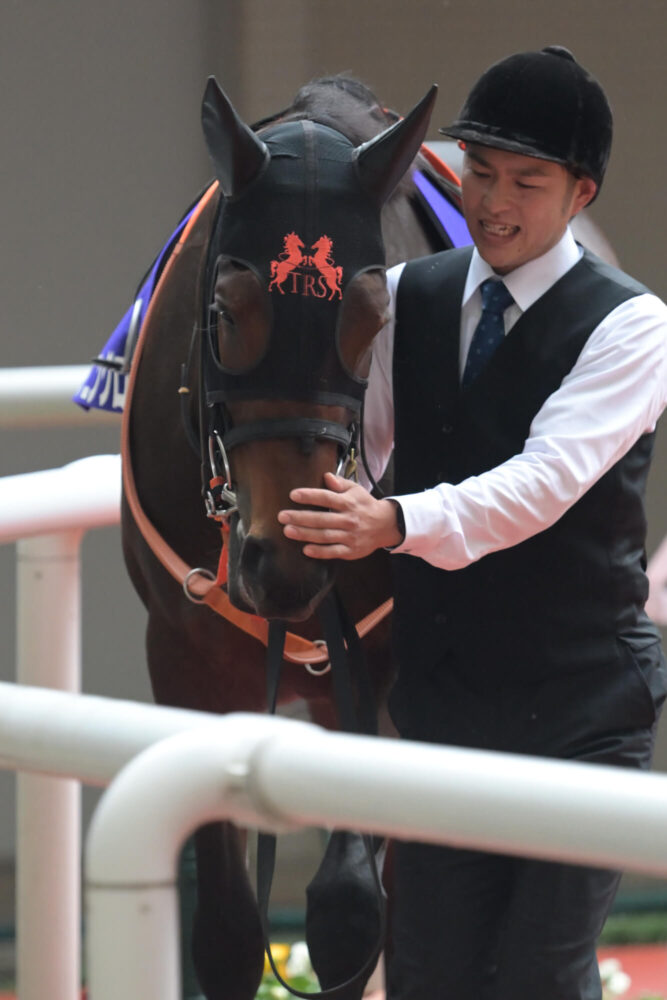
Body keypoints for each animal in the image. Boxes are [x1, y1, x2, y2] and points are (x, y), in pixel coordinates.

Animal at [122, 72, 452, 1000]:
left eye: (375, 317)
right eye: (226, 309)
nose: (290, 555)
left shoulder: (380, 663)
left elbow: (350, 910)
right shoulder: (185, 654)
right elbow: (228, 930)